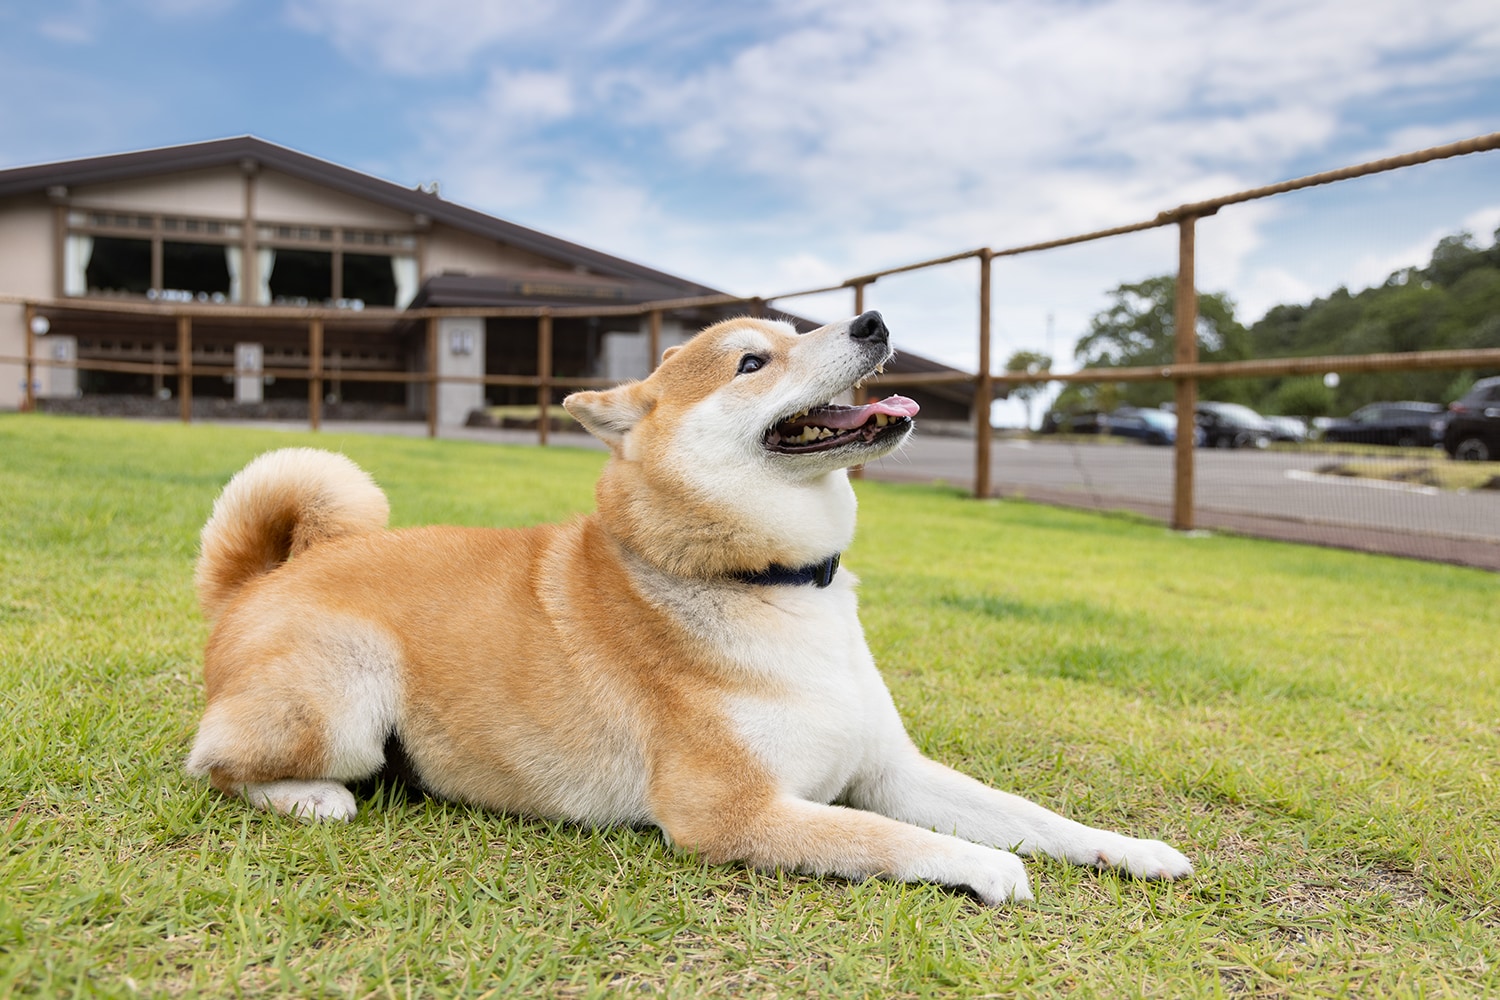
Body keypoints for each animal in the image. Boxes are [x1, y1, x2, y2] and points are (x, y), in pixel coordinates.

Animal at [184, 313, 1194, 905]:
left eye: (795, 327)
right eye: (753, 361)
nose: (871, 317)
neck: (775, 583)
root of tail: (259, 583)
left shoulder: (886, 767)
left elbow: (1030, 812)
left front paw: (1129, 849)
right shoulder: (737, 813)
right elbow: (891, 839)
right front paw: (988, 867)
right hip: (347, 691)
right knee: (215, 763)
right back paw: (313, 797)